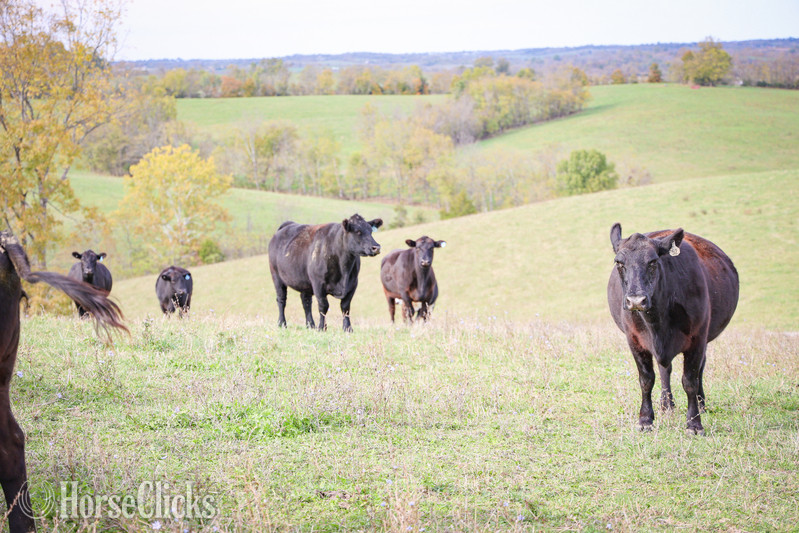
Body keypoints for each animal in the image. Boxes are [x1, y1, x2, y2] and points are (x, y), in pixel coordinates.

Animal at [607, 223, 739, 435]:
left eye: (653, 262)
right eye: (619, 262)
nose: (636, 300)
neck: (657, 323)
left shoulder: (697, 339)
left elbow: (690, 380)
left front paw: (694, 423)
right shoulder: (634, 340)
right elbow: (646, 379)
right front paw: (645, 420)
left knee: (699, 369)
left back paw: (701, 404)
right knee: (664, 370)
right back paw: (666, 404)